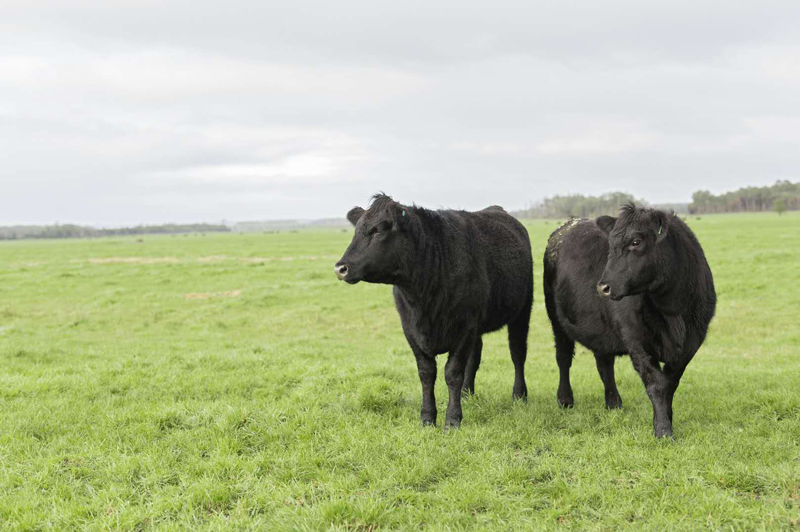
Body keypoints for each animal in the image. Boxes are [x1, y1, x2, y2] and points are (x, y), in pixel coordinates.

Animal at [334, 193, 536, 430]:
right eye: (356, 231)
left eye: (379, 230)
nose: (340, 268)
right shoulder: (410, 329)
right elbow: (426, 372)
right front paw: (428, 417)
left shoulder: (464, 328)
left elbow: (453, 372)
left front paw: (453, 419)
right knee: (475, 358)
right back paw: (467, 393)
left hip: (523, 309)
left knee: (517, 353)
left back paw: (519, 395)